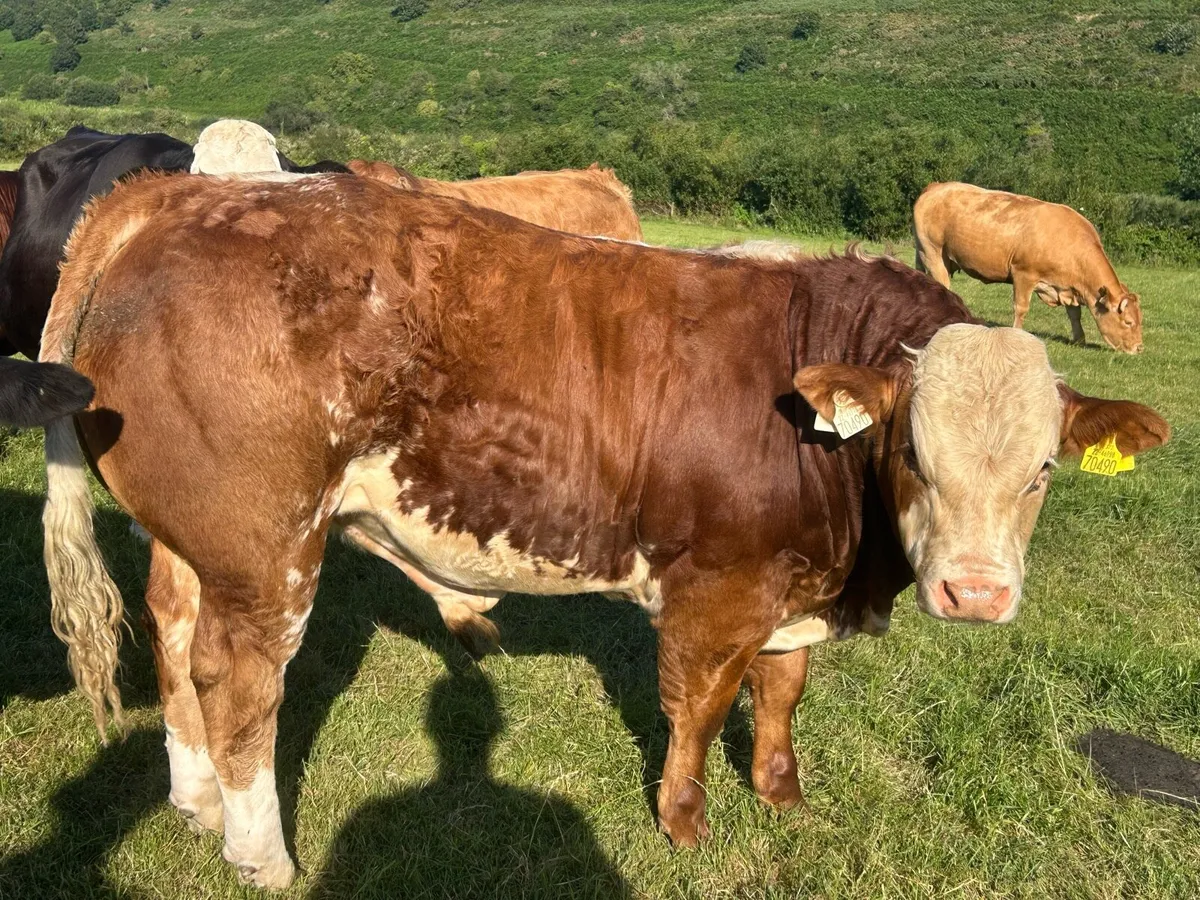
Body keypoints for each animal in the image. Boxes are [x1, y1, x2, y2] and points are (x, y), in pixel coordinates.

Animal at [912, 182, 1144, 354]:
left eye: (1140, 320)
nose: (1139, 348)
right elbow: (1021, 308)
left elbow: (1074, 314)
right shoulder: (1024, 274)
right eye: (1128, 322)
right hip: (933, 252)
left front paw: (1079, 339)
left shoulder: (1068, 286)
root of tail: (936, 186)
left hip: (923, 254)